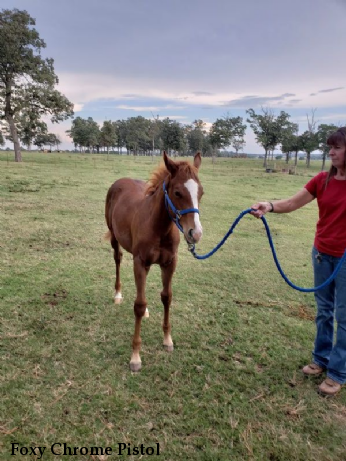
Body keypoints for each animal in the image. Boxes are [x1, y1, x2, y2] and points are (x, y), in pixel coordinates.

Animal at [105, 152, 203, 370]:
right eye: (177, 193)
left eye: (201, 192)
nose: (195, 233)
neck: (159, 227)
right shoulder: (140, 262)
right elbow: (139, 305)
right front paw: (135, 356)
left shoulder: (169, 263)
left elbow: (166, 297)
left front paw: (167, 340)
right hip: (115, 238)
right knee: (117, 259)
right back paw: (118, 294)